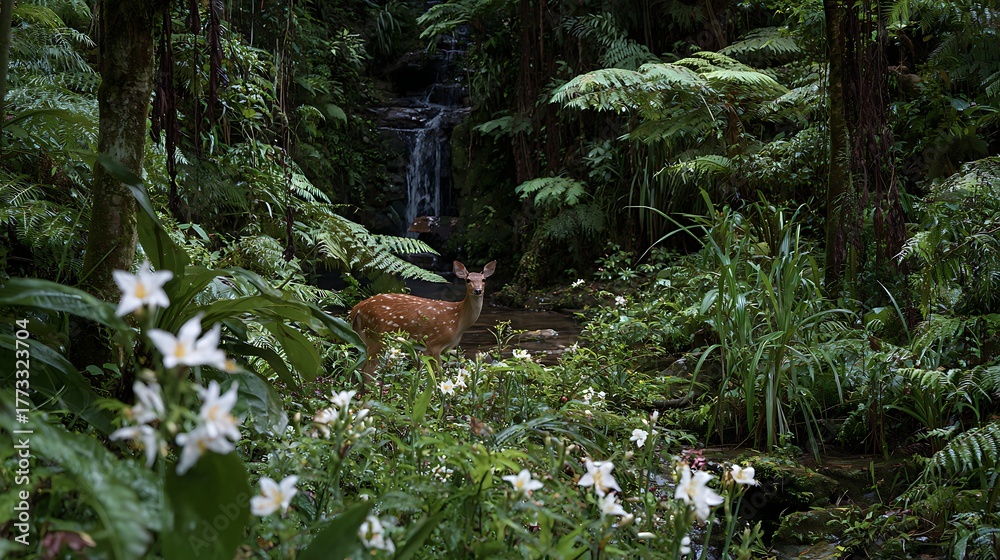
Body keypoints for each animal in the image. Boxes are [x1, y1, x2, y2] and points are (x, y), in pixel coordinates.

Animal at [349, 260, 497, 394]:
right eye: (468, 280)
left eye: (483, 279)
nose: (477, 290)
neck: (458, 320)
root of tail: (356, 309)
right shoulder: (434, 344)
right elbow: (438, 375)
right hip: (378, 336)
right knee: (367, 371)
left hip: (366, 339)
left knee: (359, 369)